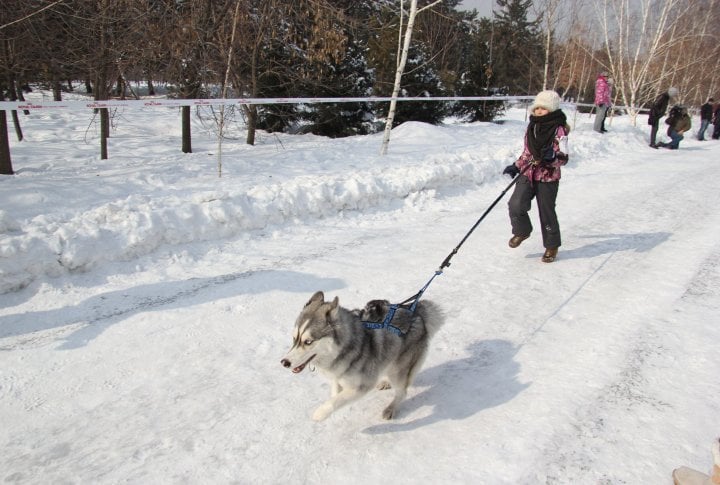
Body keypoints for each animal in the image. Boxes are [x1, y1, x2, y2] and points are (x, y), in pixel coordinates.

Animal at [282, 292, 444, 420]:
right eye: (294, 338)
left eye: (308, 341)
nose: (284, 362)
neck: (343, 349)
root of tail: (416, 312)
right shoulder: (338, 376)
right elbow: (335, 391)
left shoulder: (362, 385)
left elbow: (336, 400)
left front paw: (320, 413)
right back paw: (386, 382)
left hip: (399, 369)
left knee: (402, 392)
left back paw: (391, 408)